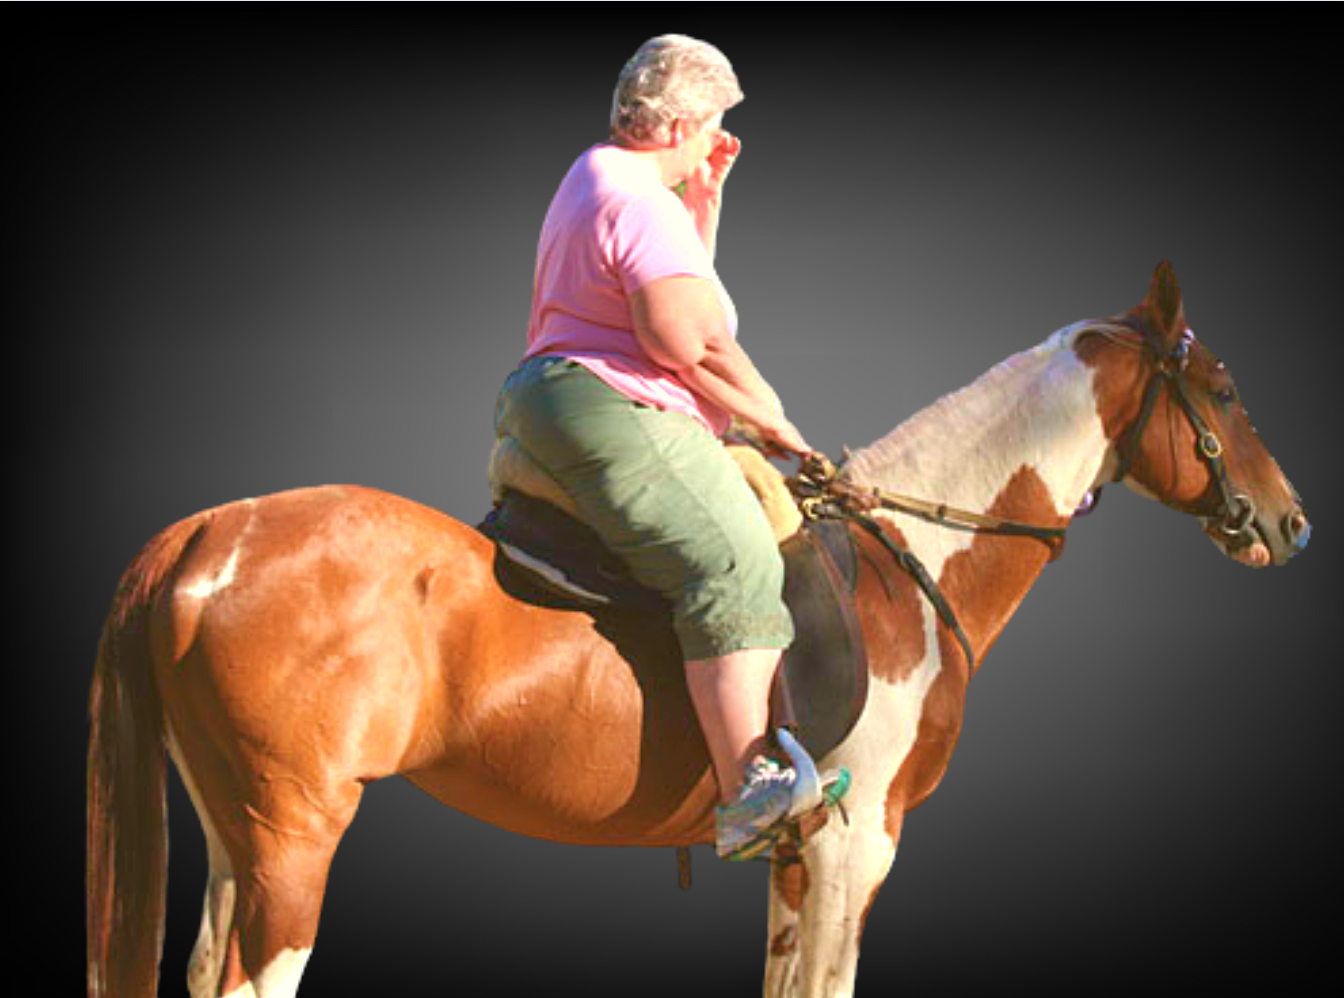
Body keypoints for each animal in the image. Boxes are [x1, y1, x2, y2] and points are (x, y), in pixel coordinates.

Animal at [86, 262, 1308, 997]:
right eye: (1224, 388)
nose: (1291, 521)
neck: (906, 565)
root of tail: (212, 530)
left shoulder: (803, 862)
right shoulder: (859, 848)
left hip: (238, 840)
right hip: (294, 840)